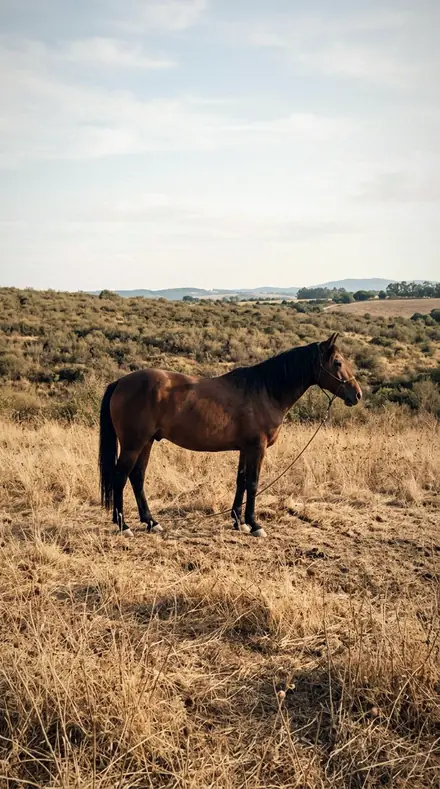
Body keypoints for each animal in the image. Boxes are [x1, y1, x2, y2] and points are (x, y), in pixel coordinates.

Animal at [99, 332, 362, 538]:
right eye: (338, 362)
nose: (357, 394)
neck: (265, 391)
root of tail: (120, 382)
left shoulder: (246, 448)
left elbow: (241, 481)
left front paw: (238, 522)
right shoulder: (257, 448)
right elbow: (253, 483)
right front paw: (255, 525)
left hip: (146, 442)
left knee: (137, 477)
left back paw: (151, 522)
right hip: (133, 444)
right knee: (120, 477)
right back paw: (124, 526)